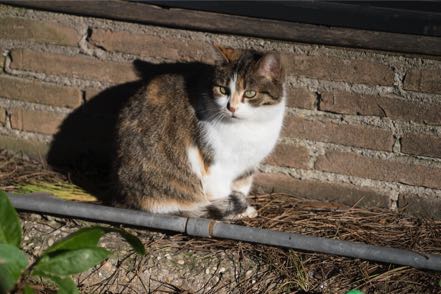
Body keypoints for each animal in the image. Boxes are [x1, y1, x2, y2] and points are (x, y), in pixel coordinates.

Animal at [111, 47, 286, 219]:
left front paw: (244, 210)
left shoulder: (248, 166)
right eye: (223, 90)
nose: (232, 107)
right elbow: (223, 194)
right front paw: (234, 212)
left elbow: (242, 187)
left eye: (250, 93)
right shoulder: (215, 168)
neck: (249, 127)